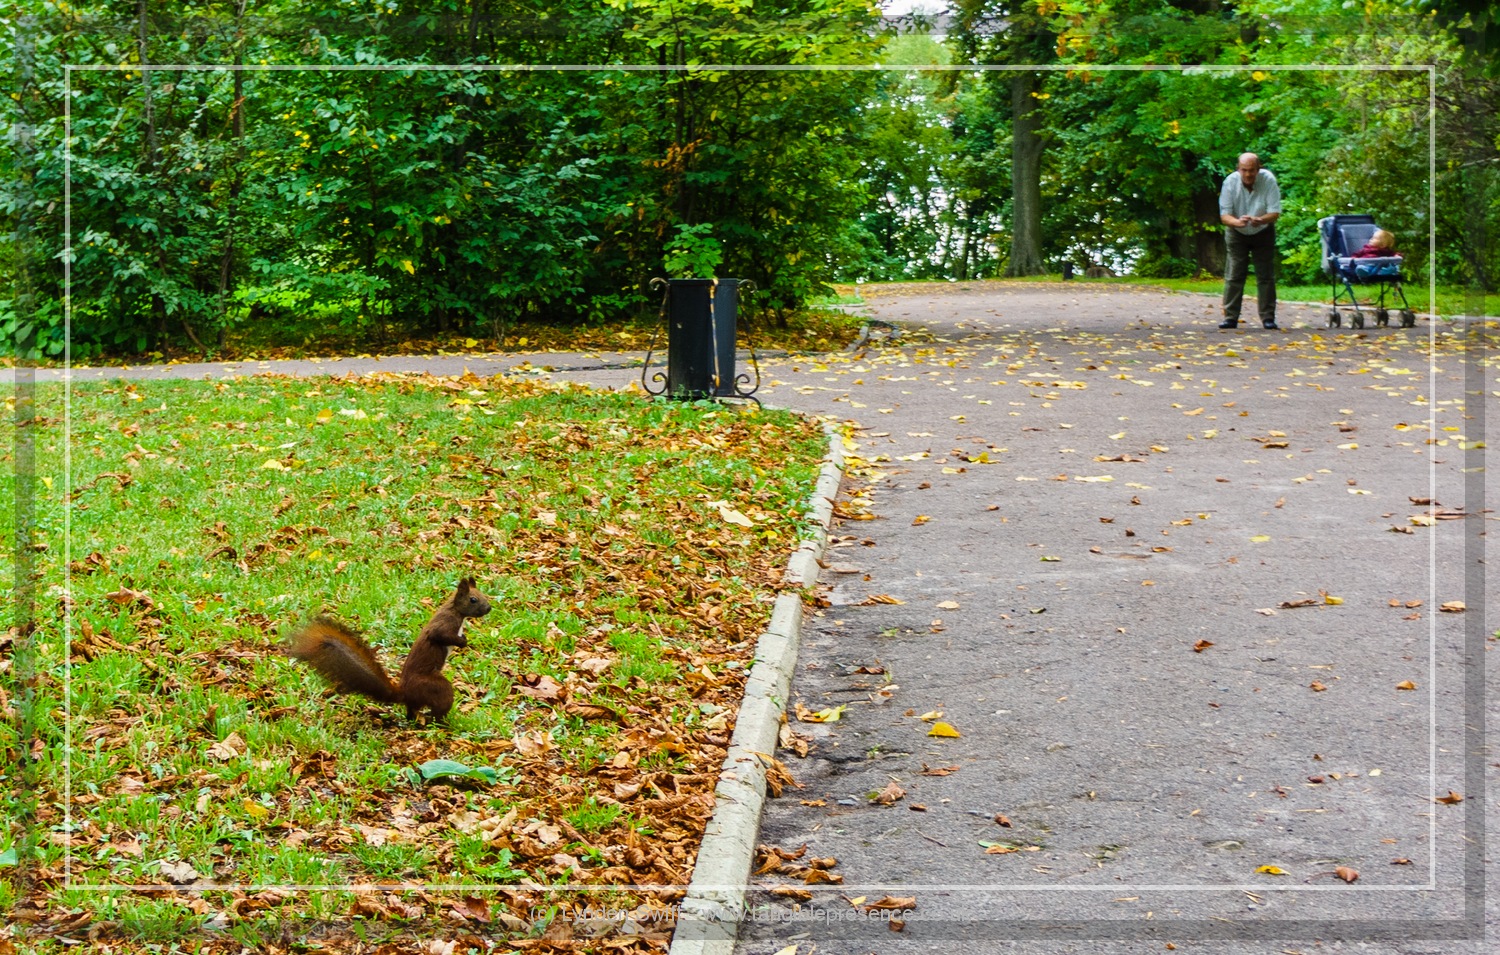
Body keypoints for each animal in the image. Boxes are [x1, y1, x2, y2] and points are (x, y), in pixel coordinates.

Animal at [286, 577, 492, 720]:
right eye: (473, 599)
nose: (489, 608)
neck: (456, 611)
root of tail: (405, 693)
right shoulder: (444, 623)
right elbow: (439, 635)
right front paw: (462, 641)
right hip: (434, 687)